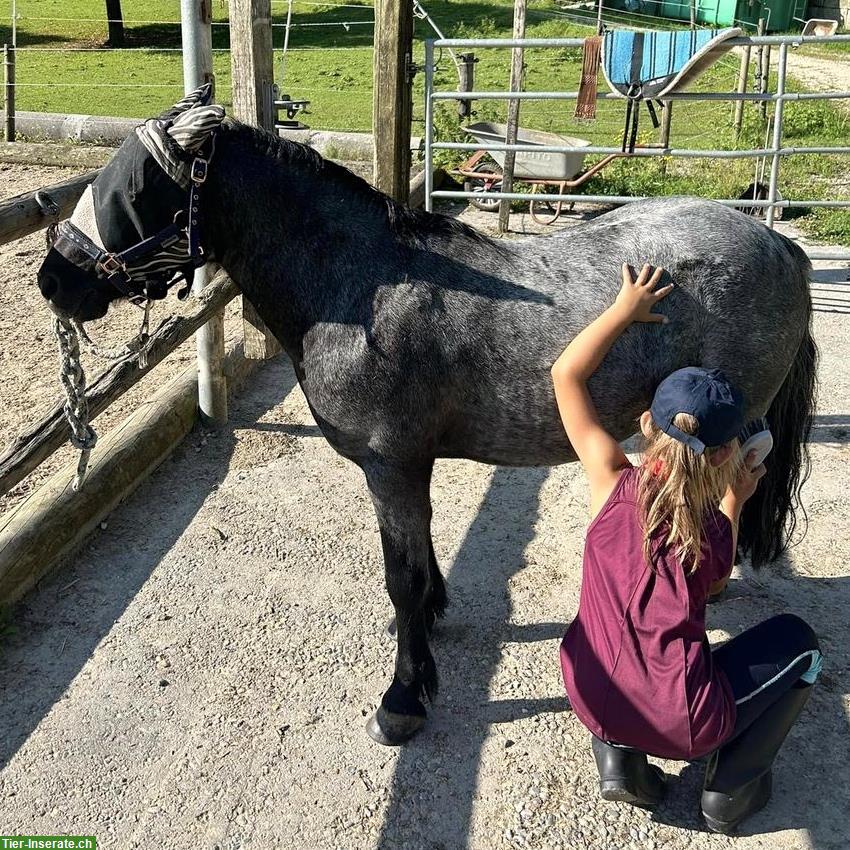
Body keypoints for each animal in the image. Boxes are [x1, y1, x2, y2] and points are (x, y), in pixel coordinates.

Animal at [38, 88, 816, 744]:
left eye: (137, 186)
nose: (54, 278)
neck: (364, 290)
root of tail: (778, 244)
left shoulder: (391, 465)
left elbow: (401, 577)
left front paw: (404, 697)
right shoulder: (411, 467)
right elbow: (418, 563)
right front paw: (428, 623)